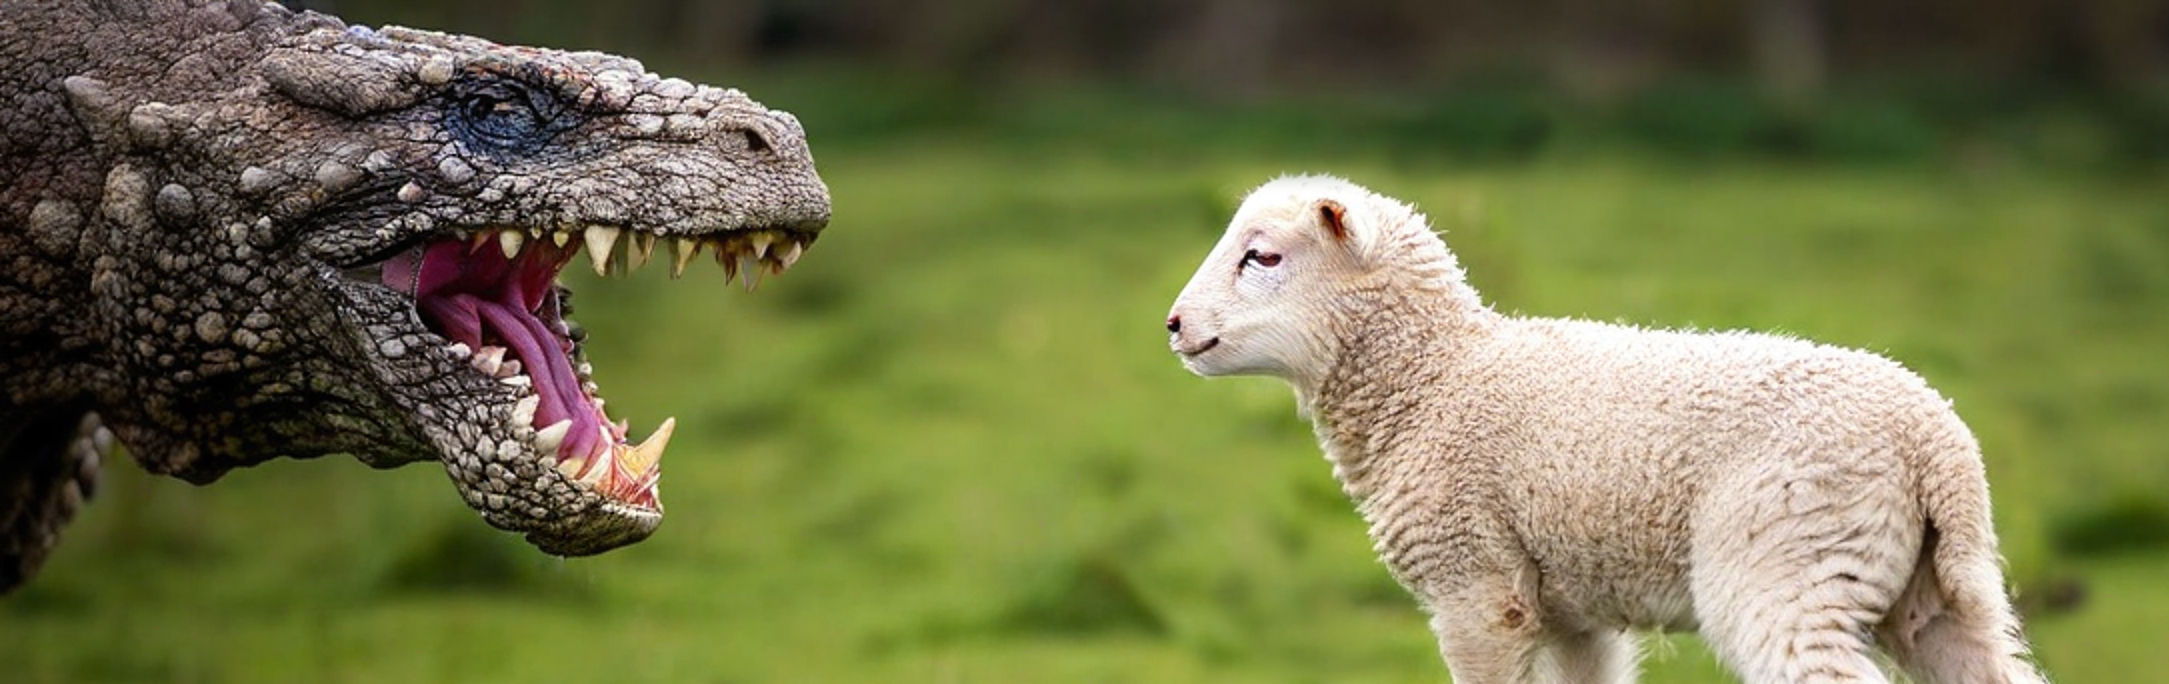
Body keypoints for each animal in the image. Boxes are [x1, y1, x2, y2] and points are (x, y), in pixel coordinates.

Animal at [1164, 175, 2047, 684]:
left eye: (1263, 257)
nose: (1173, 326)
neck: (1434, 382)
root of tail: (1935, 445)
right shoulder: (1569, 609)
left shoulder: (1474, 582)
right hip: (1936, 596)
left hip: (1790, 564)